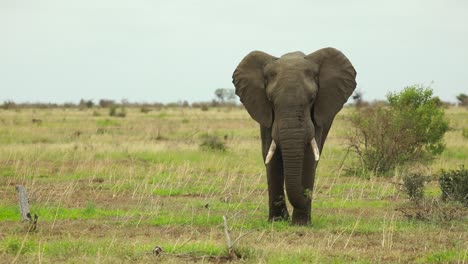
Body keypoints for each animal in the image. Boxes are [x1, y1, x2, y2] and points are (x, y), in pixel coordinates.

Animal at [232, 47, 356, 225]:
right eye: (270, 100)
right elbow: (270, 155)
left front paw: (301, 224)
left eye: (312, 99)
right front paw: (277, 221)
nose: (306, 195)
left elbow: (310, 157)